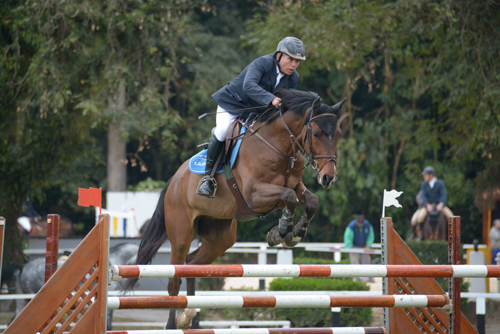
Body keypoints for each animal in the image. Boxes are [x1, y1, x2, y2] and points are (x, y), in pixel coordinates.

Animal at [123, 88, 346, 328]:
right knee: (175, 280)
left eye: (338, 133)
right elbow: (289, 198)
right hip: (181, 234)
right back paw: (174, 324)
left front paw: (292, 234)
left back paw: (191, 318)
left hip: (220, 237)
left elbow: (310, 201)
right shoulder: (254, 194)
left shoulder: (294, 188)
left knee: (192, 264)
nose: (329, 178)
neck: (279, 146)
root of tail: (174, 180)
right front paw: (281, 232)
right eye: (317, 134)